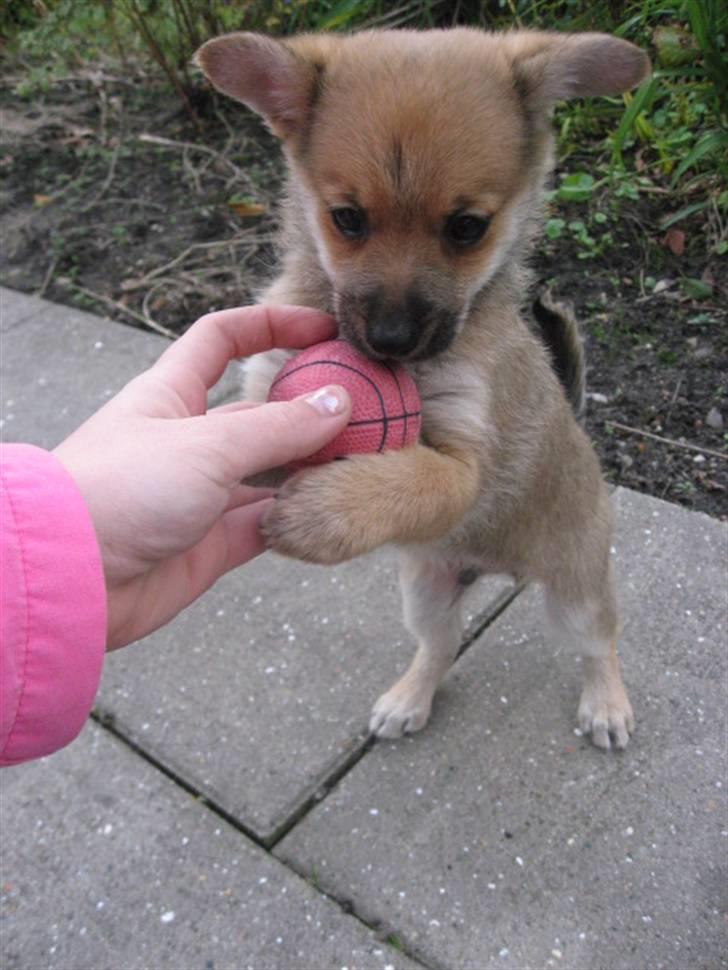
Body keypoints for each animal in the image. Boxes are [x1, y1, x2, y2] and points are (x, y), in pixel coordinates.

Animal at [196, 24, 652, 748]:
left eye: (467, 228)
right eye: (347, 219)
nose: (389, 340)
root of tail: (500, 569)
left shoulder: (470, 461)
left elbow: (423, 480)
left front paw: (322, 516)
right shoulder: (266, 389)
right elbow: (241, 423)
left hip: (575, 590)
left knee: (599, 641)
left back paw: (606, 703)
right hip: (427, 592)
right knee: (441, 646)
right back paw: (410, 697)